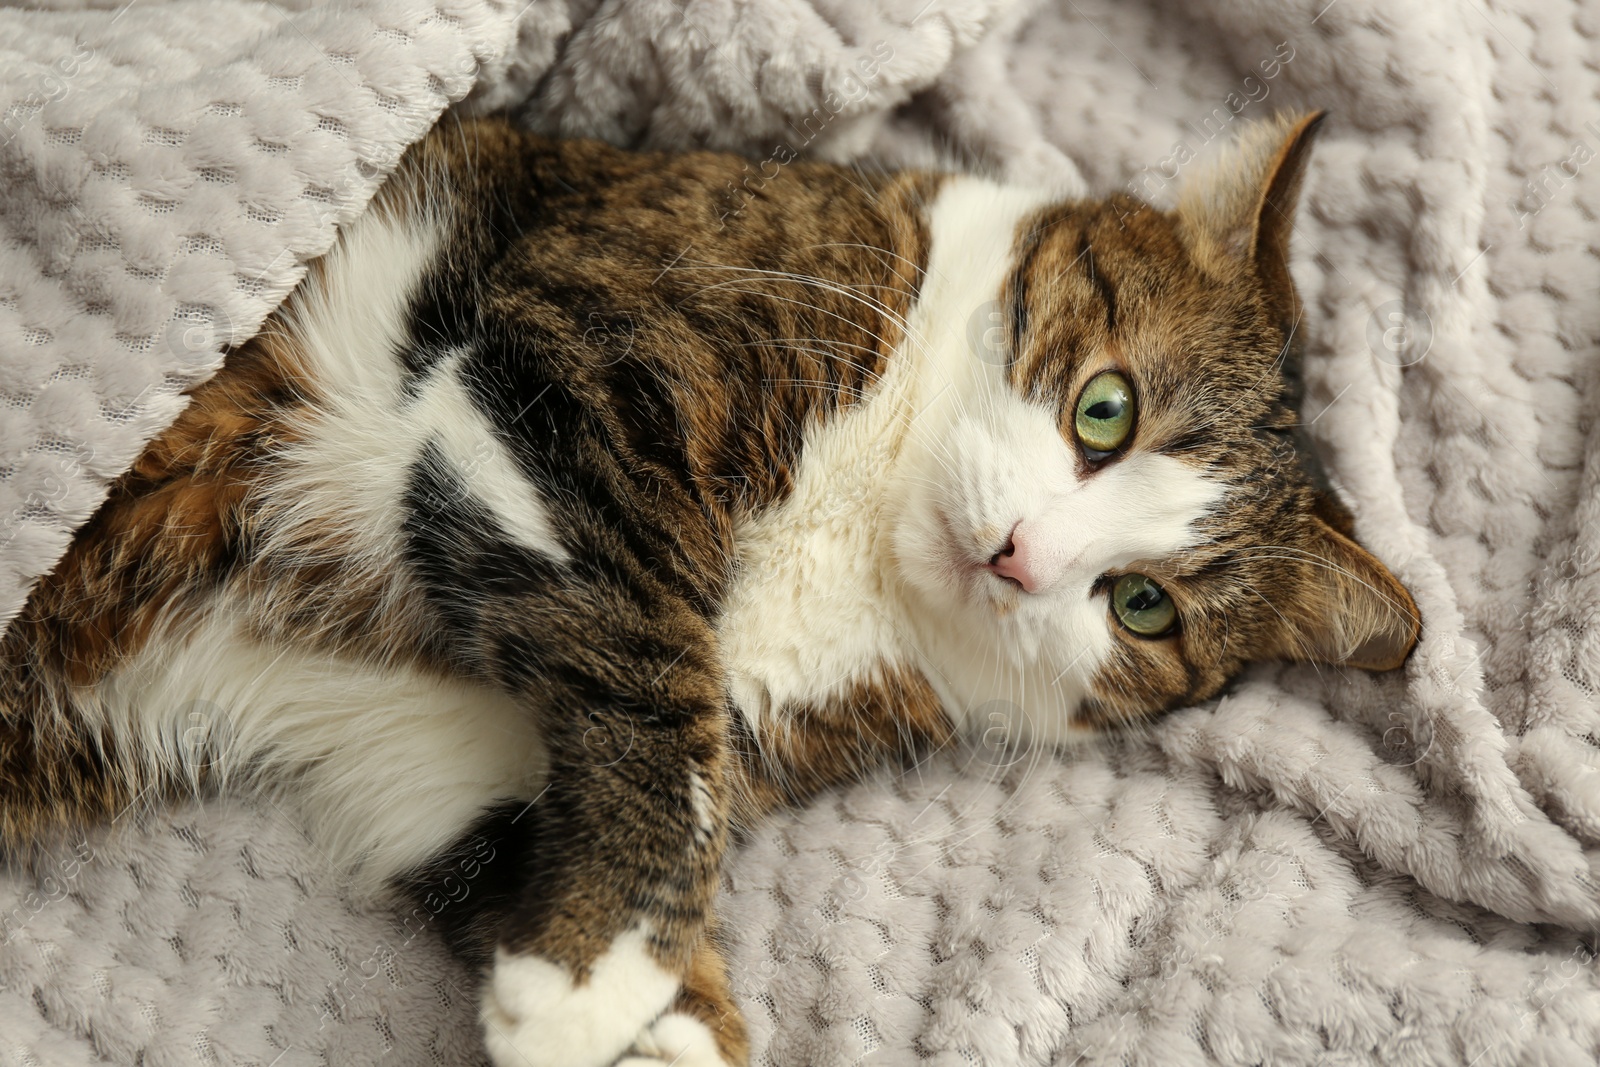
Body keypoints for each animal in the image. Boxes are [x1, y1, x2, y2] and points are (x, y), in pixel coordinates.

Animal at [3, 110, 1427, 1067]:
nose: (1019, 554)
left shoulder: (438, 749)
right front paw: (598, 969)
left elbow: (524, 818)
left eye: (1143, 607)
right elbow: (654, 688)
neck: (859, 543)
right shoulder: (572, 372)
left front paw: (628, 1005)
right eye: (1105, 408)